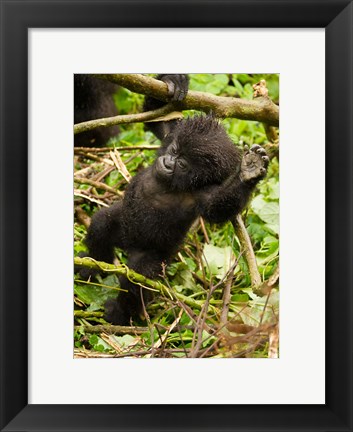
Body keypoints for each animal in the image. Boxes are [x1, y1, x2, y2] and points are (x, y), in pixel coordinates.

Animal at [78, 75, 268, 324]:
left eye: (183, 164)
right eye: (175, 150)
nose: (168, 162)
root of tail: (128, 247)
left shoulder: (201, 194)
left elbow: (217, 209)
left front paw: (248, 175)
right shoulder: (170, 135)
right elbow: (154, 118)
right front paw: (175, 81)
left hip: (156, 257)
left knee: (138, 277)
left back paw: (120, 314)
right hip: (123, 230)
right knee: (103, 222)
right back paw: (92, 266)